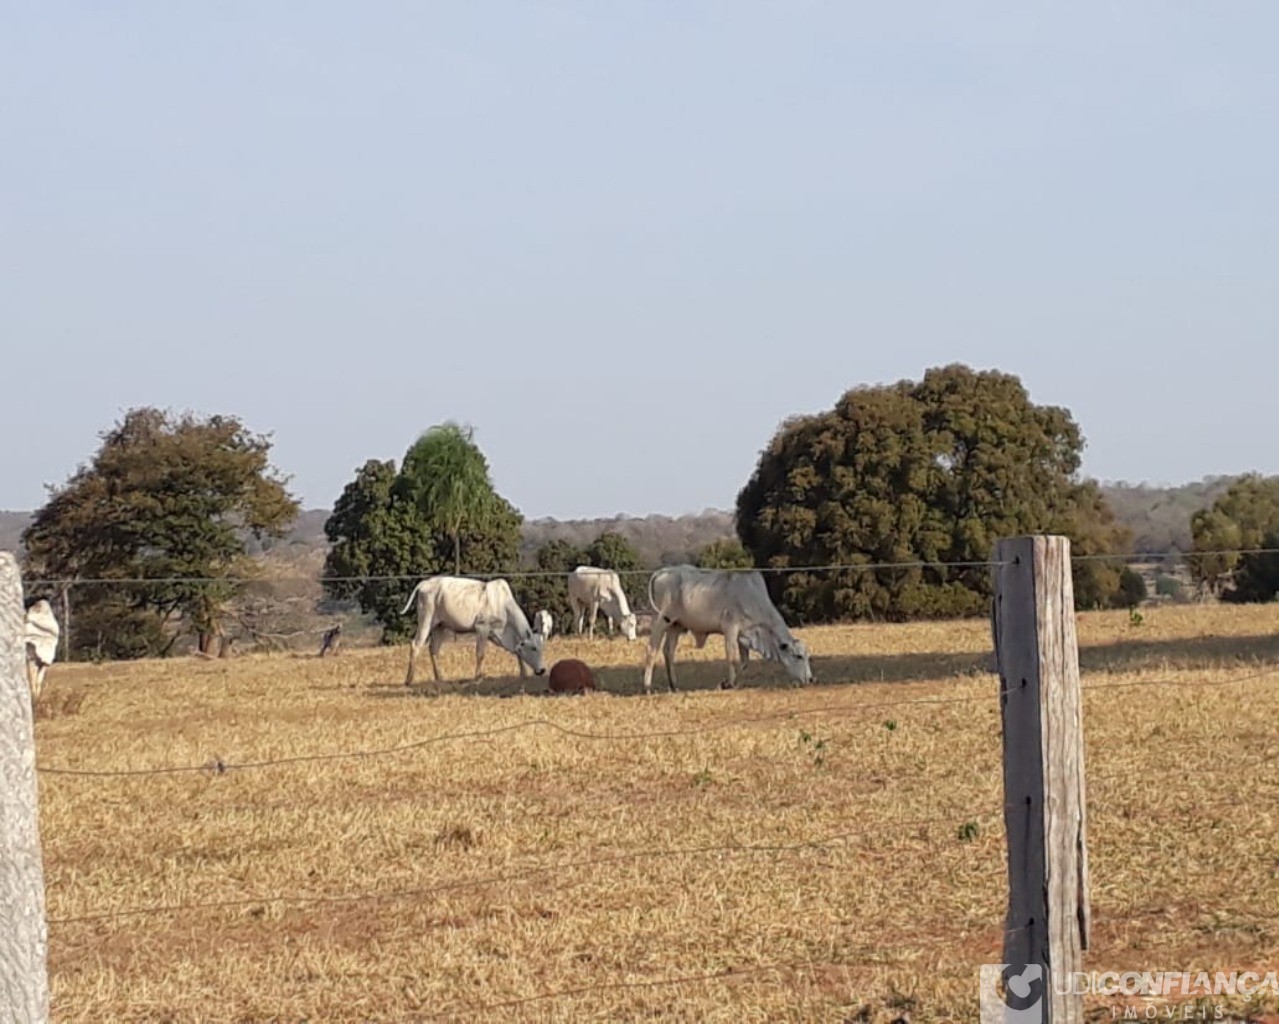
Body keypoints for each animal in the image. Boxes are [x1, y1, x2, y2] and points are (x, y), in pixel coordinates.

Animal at [401, 575, 547, 685]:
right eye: (533, 648)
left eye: (541, 648)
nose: (542, 670)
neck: (503, 605)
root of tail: (425, 582)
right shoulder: (482, 627)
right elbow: (480, 653)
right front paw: (478, 677)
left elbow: (517, 652)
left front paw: (524, 674)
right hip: (426, 620)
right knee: (415, 645)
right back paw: (409, 680)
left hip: (439, 626)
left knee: (434, 649)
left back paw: (440, 678)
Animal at [644, 562, 813, 690]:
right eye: (798, 656)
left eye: (807, 656)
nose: (810, 679)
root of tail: (663, 571)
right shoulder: (730, 628)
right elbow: (731, 656)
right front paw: (729, 683)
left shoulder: (743, 635)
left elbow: (744, 661)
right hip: (660, 620)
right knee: (652, 649)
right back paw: (647, 686)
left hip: (676, 626)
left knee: (668, 651)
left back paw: (674, 686)